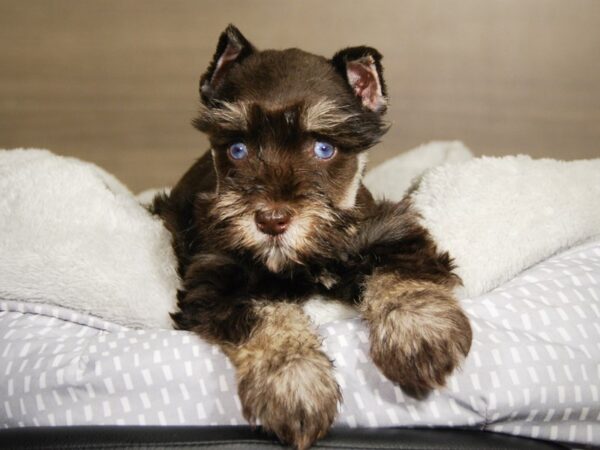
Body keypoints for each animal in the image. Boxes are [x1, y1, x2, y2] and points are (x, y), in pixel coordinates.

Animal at [152, 24, 472, 450]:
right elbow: (269, 318)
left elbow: (401, 273)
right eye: (237, 148)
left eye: (323, 147)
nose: (271, 220)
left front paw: (420, 335)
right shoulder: (217, 280)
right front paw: (295, 384)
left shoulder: (387, 232)